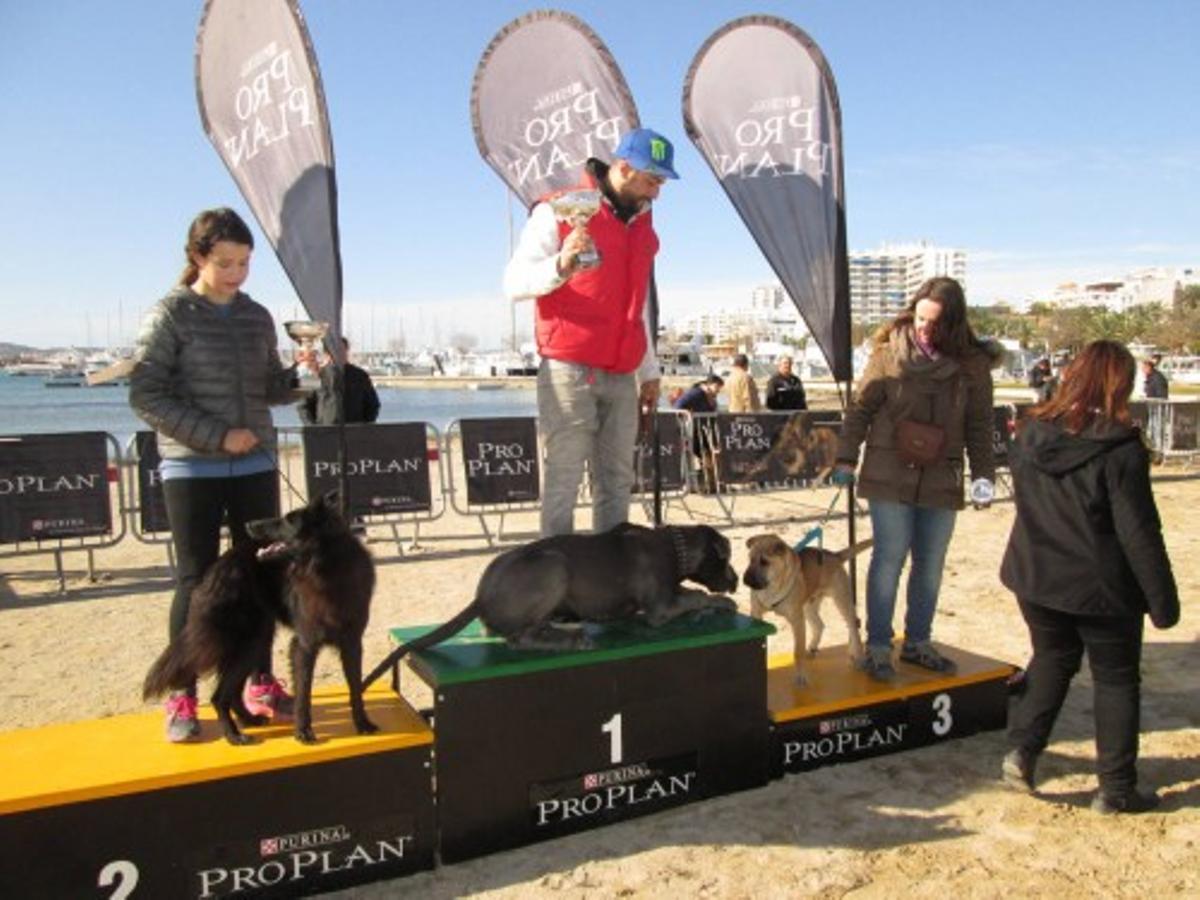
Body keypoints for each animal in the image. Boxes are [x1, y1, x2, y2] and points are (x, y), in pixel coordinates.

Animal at [143, 492, 377, 745]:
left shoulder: (352, 643)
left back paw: (249, 720)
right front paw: (303, 730)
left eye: (288, 520)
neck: (327, 568)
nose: (249, 524)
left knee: (230, 693)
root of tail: (219, 565)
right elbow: (304, 693)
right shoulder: (305, 645)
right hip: (246, 642)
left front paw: (363, 723)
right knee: (219, 695)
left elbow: (356, 687)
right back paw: (233, 735)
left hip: (254, 642)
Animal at [362, 523, 739, 688]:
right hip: (554, 565)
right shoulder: (660, 608)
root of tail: (481, 595)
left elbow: (689, 591)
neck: (676, 546)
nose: (737, 580)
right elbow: (695, 595)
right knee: (519, 639)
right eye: (726, 558)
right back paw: (572, 639)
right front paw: (720, 601)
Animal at [742, 533, 873, 685]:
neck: (772, 587)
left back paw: (858, 656)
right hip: (809, 607)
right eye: (750, 559)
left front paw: (800, 676)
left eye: (764, 562)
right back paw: (813, 648)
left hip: (842, 601)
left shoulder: (797, 620)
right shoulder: (756, 614)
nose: (745, 580)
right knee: (820, 625)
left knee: (853, 626)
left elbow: (798, 652)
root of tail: (835, 555)